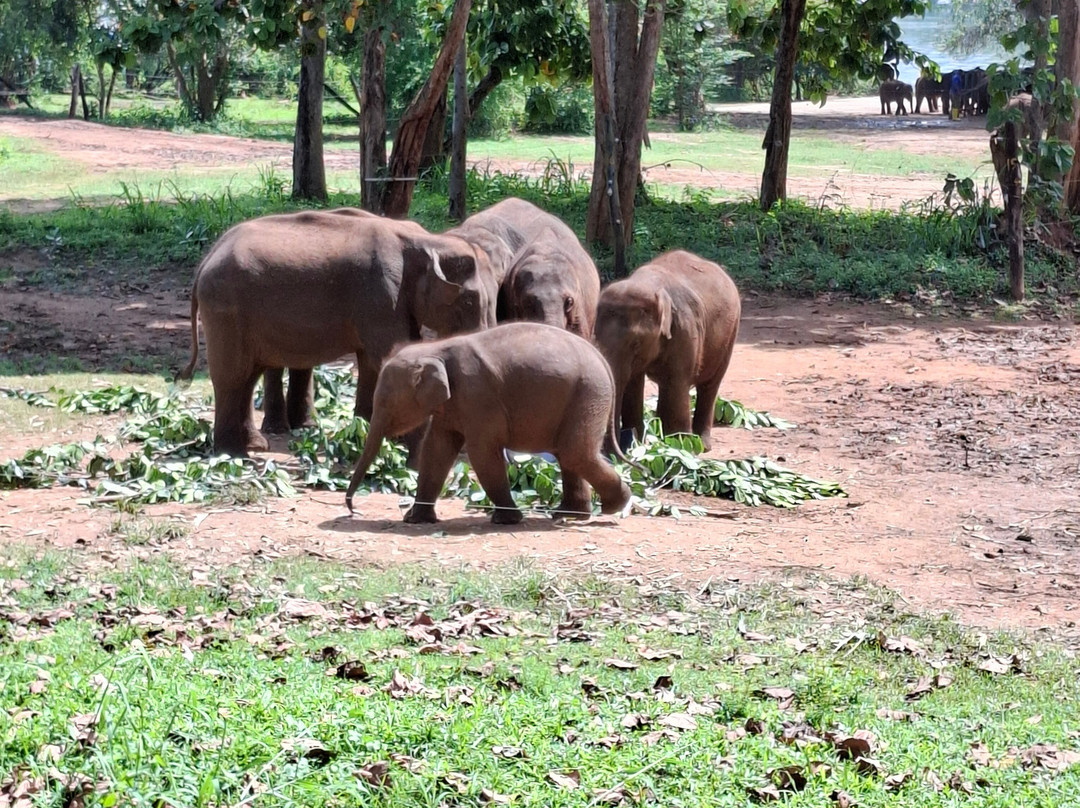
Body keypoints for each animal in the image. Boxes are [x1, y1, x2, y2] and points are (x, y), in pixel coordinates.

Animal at [177, 209, 496, 456]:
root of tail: (206, 260)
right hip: (226, 310)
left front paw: (366, 432)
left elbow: (372, 362)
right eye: (469, 301)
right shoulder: (381, 294)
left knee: (247, 375)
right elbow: (387, 354)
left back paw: (253, 446)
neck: (428, 239)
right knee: (234, 376)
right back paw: (233, 455)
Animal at [345, 322, 633, 525]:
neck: (435, 348)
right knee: (567, 453)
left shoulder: (477, 395)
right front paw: (416, 520)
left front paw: (506, 520)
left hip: (588, 394)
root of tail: (602, 359)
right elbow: (437, 450)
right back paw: (569, 514)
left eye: (385, 402)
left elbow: (482, 452)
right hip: (581, 398)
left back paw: (613, 506)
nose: (353, 510)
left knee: (575, 453)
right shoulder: (453, 405)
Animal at [594, 250, 741, 452]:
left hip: (730, 334)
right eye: (595, 337)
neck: (646, 283)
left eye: (636, 343)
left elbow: (678, 381)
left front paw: (681, 446)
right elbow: (633, 383)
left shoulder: (685, 328)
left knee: (708, 385)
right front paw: (635, 442)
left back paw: (701, 445)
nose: (612, 452)